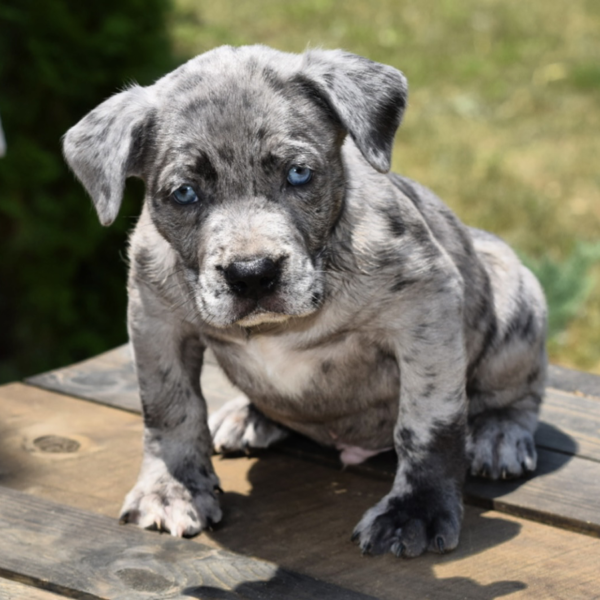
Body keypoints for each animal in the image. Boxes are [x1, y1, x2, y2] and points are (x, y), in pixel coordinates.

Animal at [63, 45, 548, 556]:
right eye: (184, 193)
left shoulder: (426, 307)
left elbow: (429, 422)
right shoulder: (155, 320)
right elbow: (169, 407)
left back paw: (499, 433)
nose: (252, 275)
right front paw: (172, 489)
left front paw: (415, 509)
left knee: (517, 392)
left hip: (516, 296)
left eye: (299, 174)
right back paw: (249, 416)